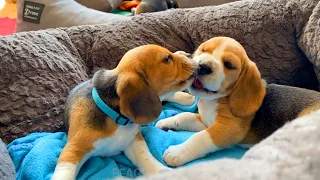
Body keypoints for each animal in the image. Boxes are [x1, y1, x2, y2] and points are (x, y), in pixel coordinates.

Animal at [52, 44, 198, 179]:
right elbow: (64, 174)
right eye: (167, 58)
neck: (115, 117)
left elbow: (147, 160)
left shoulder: (133, 140)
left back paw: (186, 98)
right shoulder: (72, 150)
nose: (189, 54)